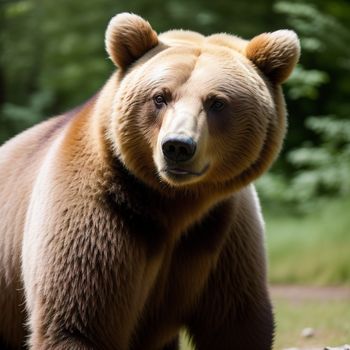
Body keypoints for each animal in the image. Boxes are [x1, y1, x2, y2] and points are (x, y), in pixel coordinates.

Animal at [0, 12, 300, 348]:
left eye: (217, 102)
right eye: (160, 97)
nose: (178, 146)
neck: (174, 202)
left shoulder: (221, 233)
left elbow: (235, 322)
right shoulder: (99, 217)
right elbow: (77, 322)